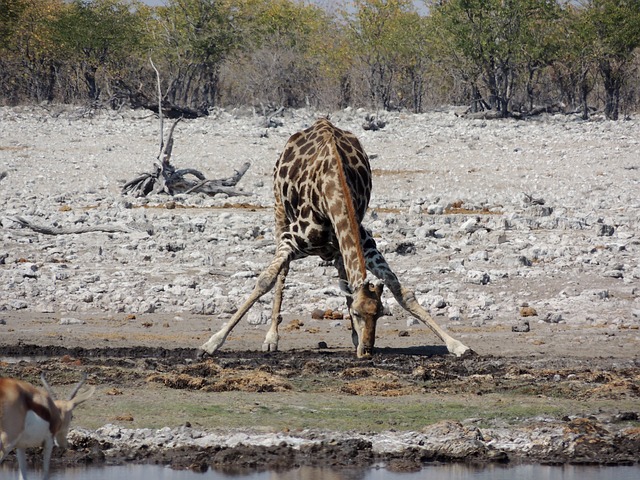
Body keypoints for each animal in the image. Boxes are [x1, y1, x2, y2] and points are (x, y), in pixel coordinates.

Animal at [200, 118, 470, 358]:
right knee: (282, 274)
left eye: (380, 313)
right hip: (279, 210)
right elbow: (265, 280)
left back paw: (353, 338)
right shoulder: (290, 239)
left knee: (343, 277)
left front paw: (457, 345)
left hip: (336, 247)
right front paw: (211, 343)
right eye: (359, 314)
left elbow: (402, 291)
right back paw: (271, 338)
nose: (368, 351)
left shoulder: (366, 244)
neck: (332, 195)